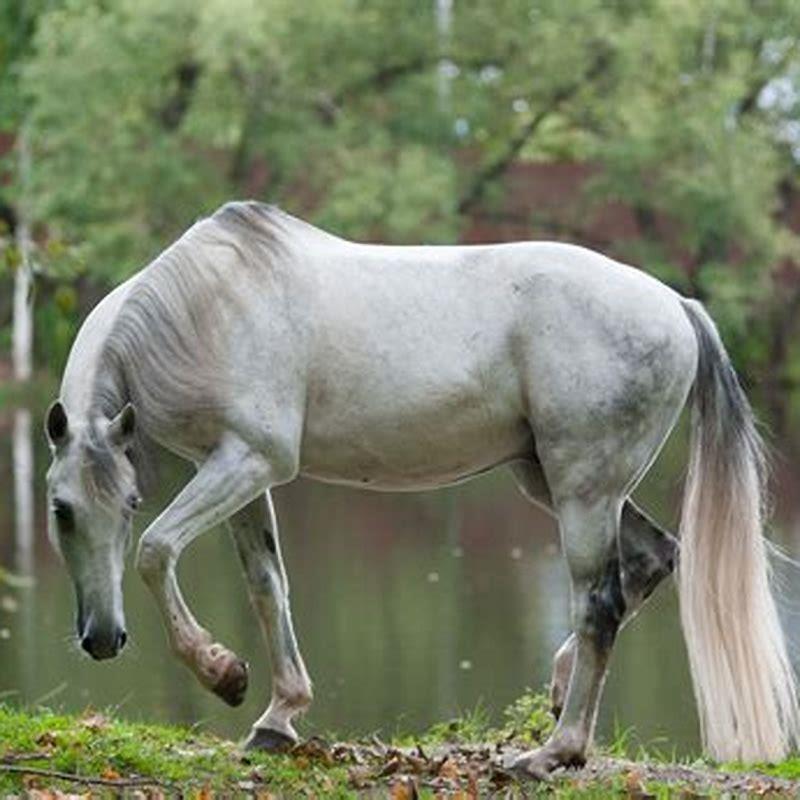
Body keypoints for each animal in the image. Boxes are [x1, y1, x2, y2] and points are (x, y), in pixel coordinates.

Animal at [44, 201, 798, 777]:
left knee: (600, 603)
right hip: (557, 483)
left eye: (127, 504)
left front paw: (222, 673)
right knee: (653, 559)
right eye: (63, 512)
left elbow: (155, 551)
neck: (207, 306)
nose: (102, 638)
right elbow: (266, 586)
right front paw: (276, 718)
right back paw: (558, 694)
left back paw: (554, 753)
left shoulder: (249, 462)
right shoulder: (237, 470)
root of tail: (675, 304)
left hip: (582, 493)